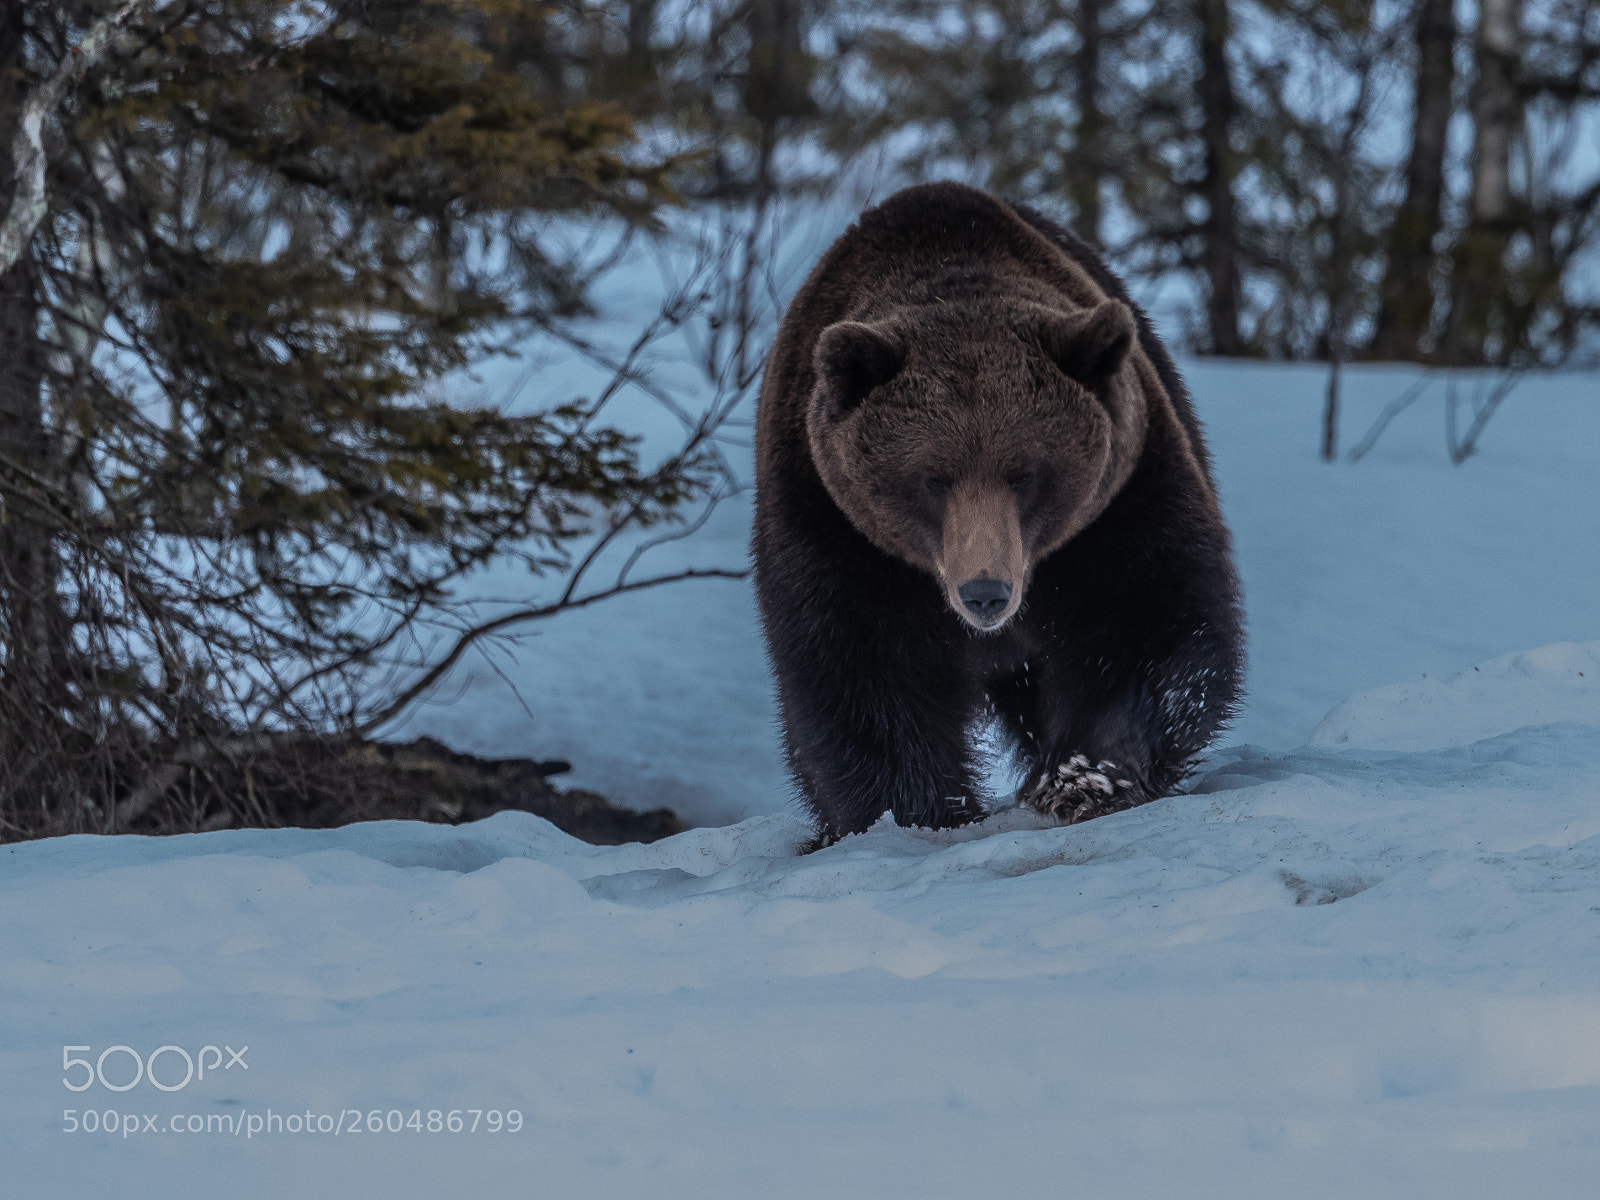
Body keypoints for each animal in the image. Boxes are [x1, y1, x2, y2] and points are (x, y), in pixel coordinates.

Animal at [753, 181, 1244, 845]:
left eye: (1026, 473)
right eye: (933, 478)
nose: (985, 592)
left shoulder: (1117, 507)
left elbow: (1149, 621)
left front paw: (1079, 780)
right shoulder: (833, 525)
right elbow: (859, 675)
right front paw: (916, 812)